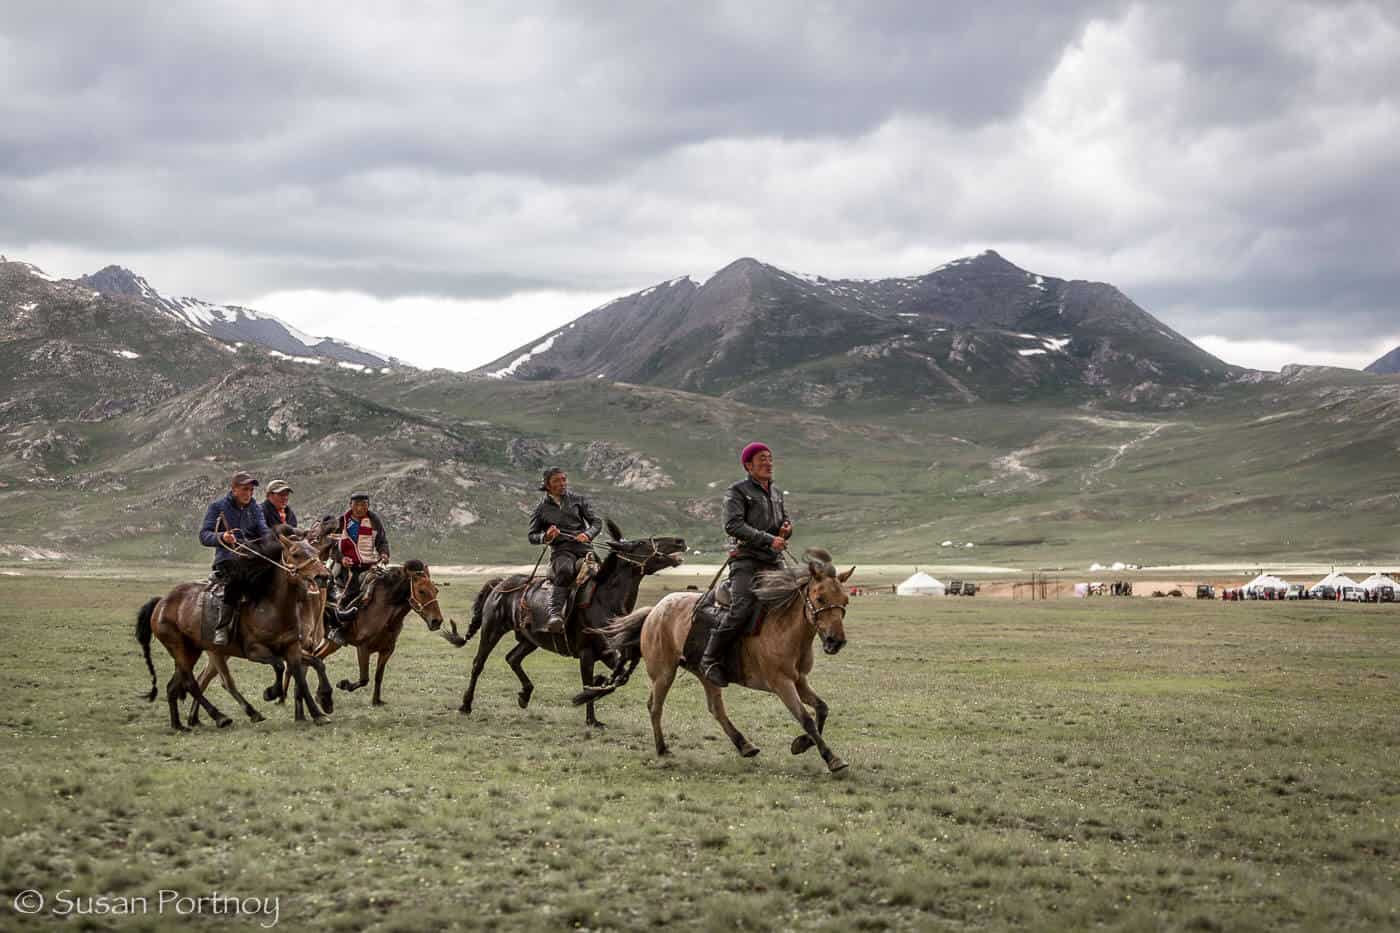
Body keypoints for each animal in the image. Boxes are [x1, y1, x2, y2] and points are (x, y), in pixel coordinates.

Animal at [135, 526, 333, 728]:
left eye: (315, 552)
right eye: (295, 554)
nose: (323, 576)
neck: (270, 606)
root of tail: (161, 602)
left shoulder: (292, 648)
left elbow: (309, 671)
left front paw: (321, 708)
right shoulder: (254, 651)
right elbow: (279, 665)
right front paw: (271, 693)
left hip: (194, 651)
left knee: (175, 685)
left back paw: (179, 725)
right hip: (180, 648)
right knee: (196, 682)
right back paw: (221, 716)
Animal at [309, 560, 467, 706]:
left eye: (436, 590)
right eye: (421, 591)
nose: (436, 621)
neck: (384, 611)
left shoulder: (387, 650)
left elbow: (378, 676)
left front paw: (376, 701)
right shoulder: (363, 648)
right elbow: (364, 679)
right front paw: (343, 684)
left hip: (334, 642)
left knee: (318, 657)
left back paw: (320, 695)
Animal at [462, 515, 686, 728]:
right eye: (641, 543)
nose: (680, 541)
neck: (604, 601)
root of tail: (500, 583)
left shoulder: (607, 653)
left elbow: (619, 678)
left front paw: (598, 684)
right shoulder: (587, 654)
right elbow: (589, 682)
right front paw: (591, 718)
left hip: (530, 639)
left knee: (512, 658)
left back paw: (524, 695)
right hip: (492, 630)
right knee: (478, 663)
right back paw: (466, 705)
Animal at [582, 546, 845, 767]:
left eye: (845, 600)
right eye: (820, 598)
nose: (836, 641)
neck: (783, 627)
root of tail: (654, 612)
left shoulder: (799, 680)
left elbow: (822, 708)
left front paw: (802, 744)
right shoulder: (782, 684)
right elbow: (806, 718)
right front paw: (831, 758)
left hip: (704, 674)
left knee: (715, 708)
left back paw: (744, 745)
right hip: (664, 672)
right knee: (655, 706)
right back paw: (662, 748)